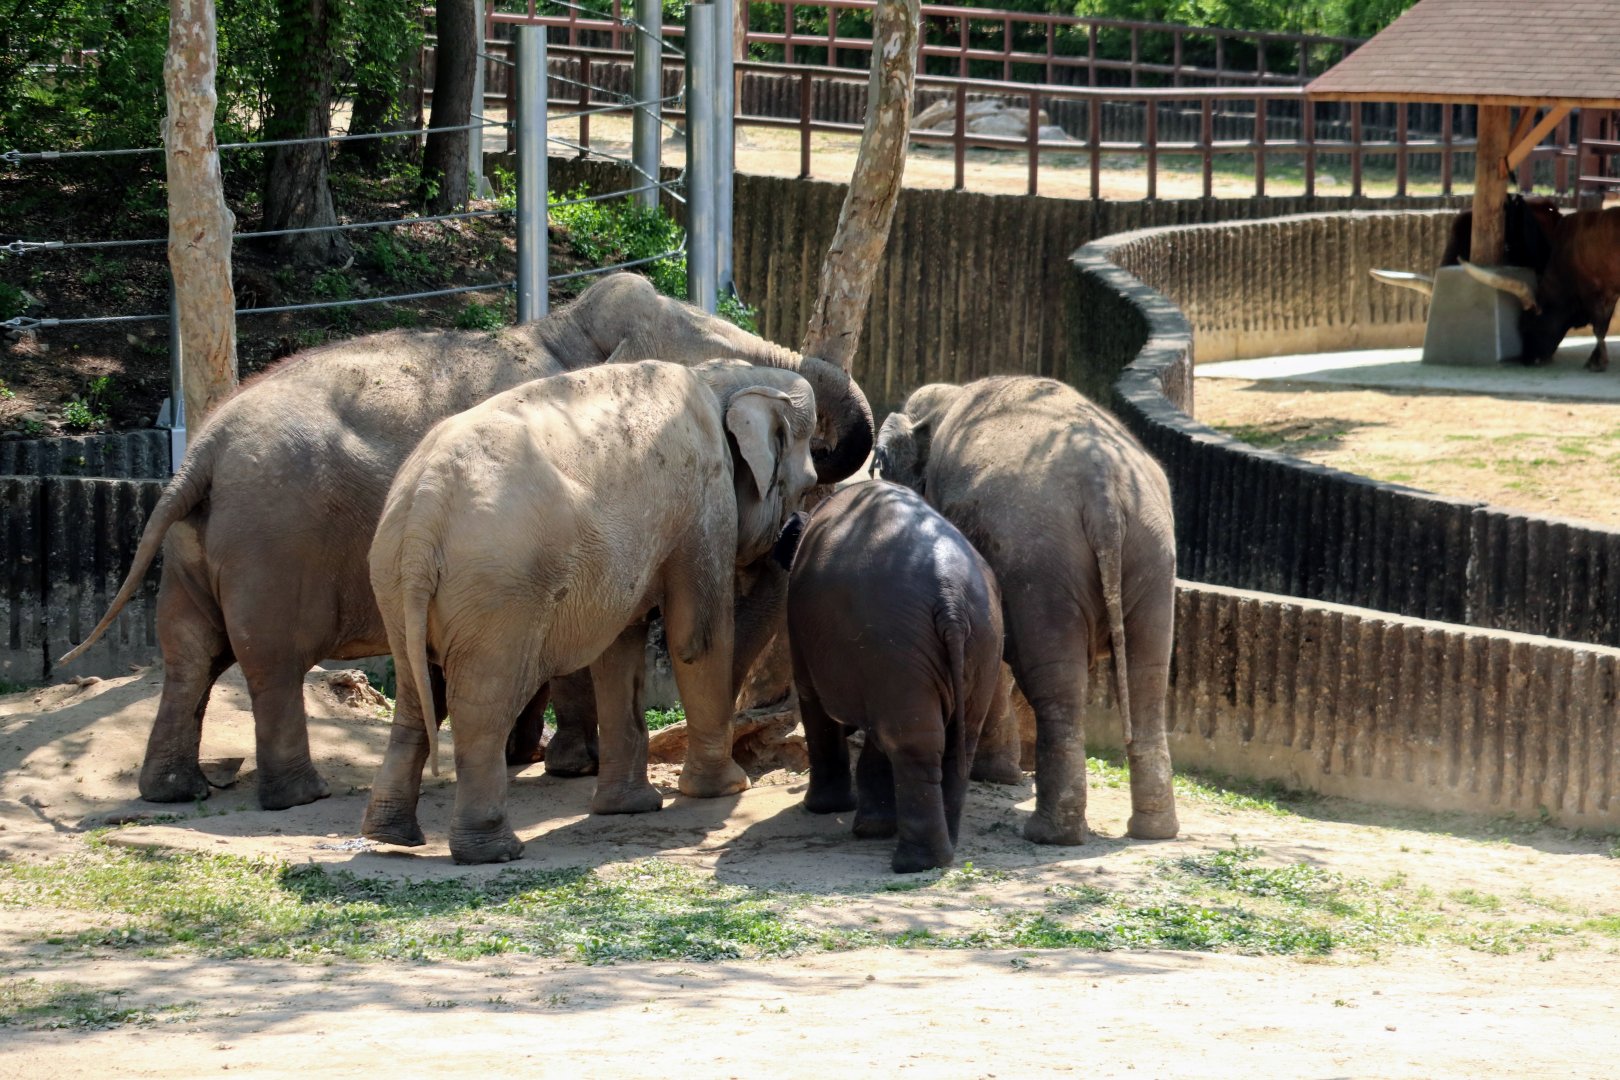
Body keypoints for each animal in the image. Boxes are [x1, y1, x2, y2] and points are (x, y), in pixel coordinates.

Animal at [59, 273, 872, 811]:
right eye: (702, 345)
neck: (562, 331)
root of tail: (200, 452)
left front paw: (529, 756)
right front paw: (570, 765)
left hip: (195, 548)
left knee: (189, 652)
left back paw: (173, 791)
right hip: (271, 543)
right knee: (271, 661)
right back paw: (299, 795)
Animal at [361, 359, 819, 864]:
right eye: (809, 486)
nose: (794, 529)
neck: (720, 376)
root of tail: (424, 509)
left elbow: (620, 647)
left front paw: (629, 808)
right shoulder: (704, 498)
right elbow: (697, 638)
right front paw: (725, 789)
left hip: (394, 582)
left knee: (416, 695)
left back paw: (391, 835)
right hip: (496, 593)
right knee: (481, 708)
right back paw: (494, 850)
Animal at [774, 481, 1005, 873]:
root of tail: (951, 601)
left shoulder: (800, 631)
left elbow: (814, 703)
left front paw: (827, 810)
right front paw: (870, 825)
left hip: (897, 642)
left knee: (912, 742)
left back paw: (915, 862)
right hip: (982, 641)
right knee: (956, 738)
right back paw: (944, 847)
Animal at [874, 375, 1179, 846]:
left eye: (883, 463)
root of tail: (1104, 494)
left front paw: (992, 775)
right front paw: (999, 775)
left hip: (1039, 560)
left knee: (1056, 687)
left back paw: (1049, 835)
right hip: (1152, 551)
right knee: (1147, 678)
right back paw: (1153, 831)